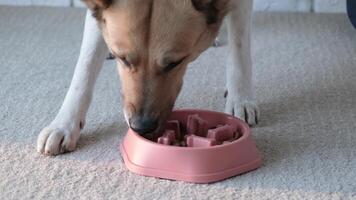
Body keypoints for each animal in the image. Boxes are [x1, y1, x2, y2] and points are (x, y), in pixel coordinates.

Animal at [36, 0, 258, 155]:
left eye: (174, 63)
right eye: (123, 58)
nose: (141, 127)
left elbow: (239, 49)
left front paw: (240, 98)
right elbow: (85, 67)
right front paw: (64, 124)